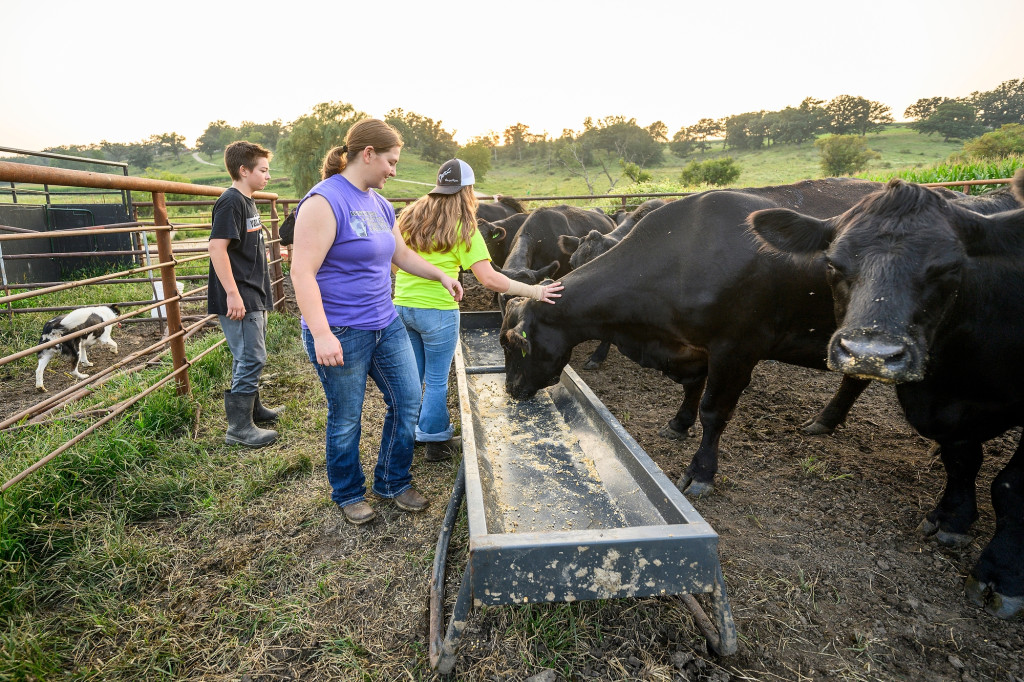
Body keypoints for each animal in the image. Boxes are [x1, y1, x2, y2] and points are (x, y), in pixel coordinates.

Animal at [495, 179, 888, 493]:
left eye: (510, 344)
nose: (510, 389)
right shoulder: (689, 347)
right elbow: (692, 389)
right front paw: (678, 424)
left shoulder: (735, 351)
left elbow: (713, 411)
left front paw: (700, 473)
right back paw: (826, 420)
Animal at [745, 169, 1024, 614]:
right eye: (832, 263)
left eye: (950, 268)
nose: (871, 353)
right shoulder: (945, 410)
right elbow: (962, 460)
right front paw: (951, 520)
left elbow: (1011, 487)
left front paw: (1001, 574)